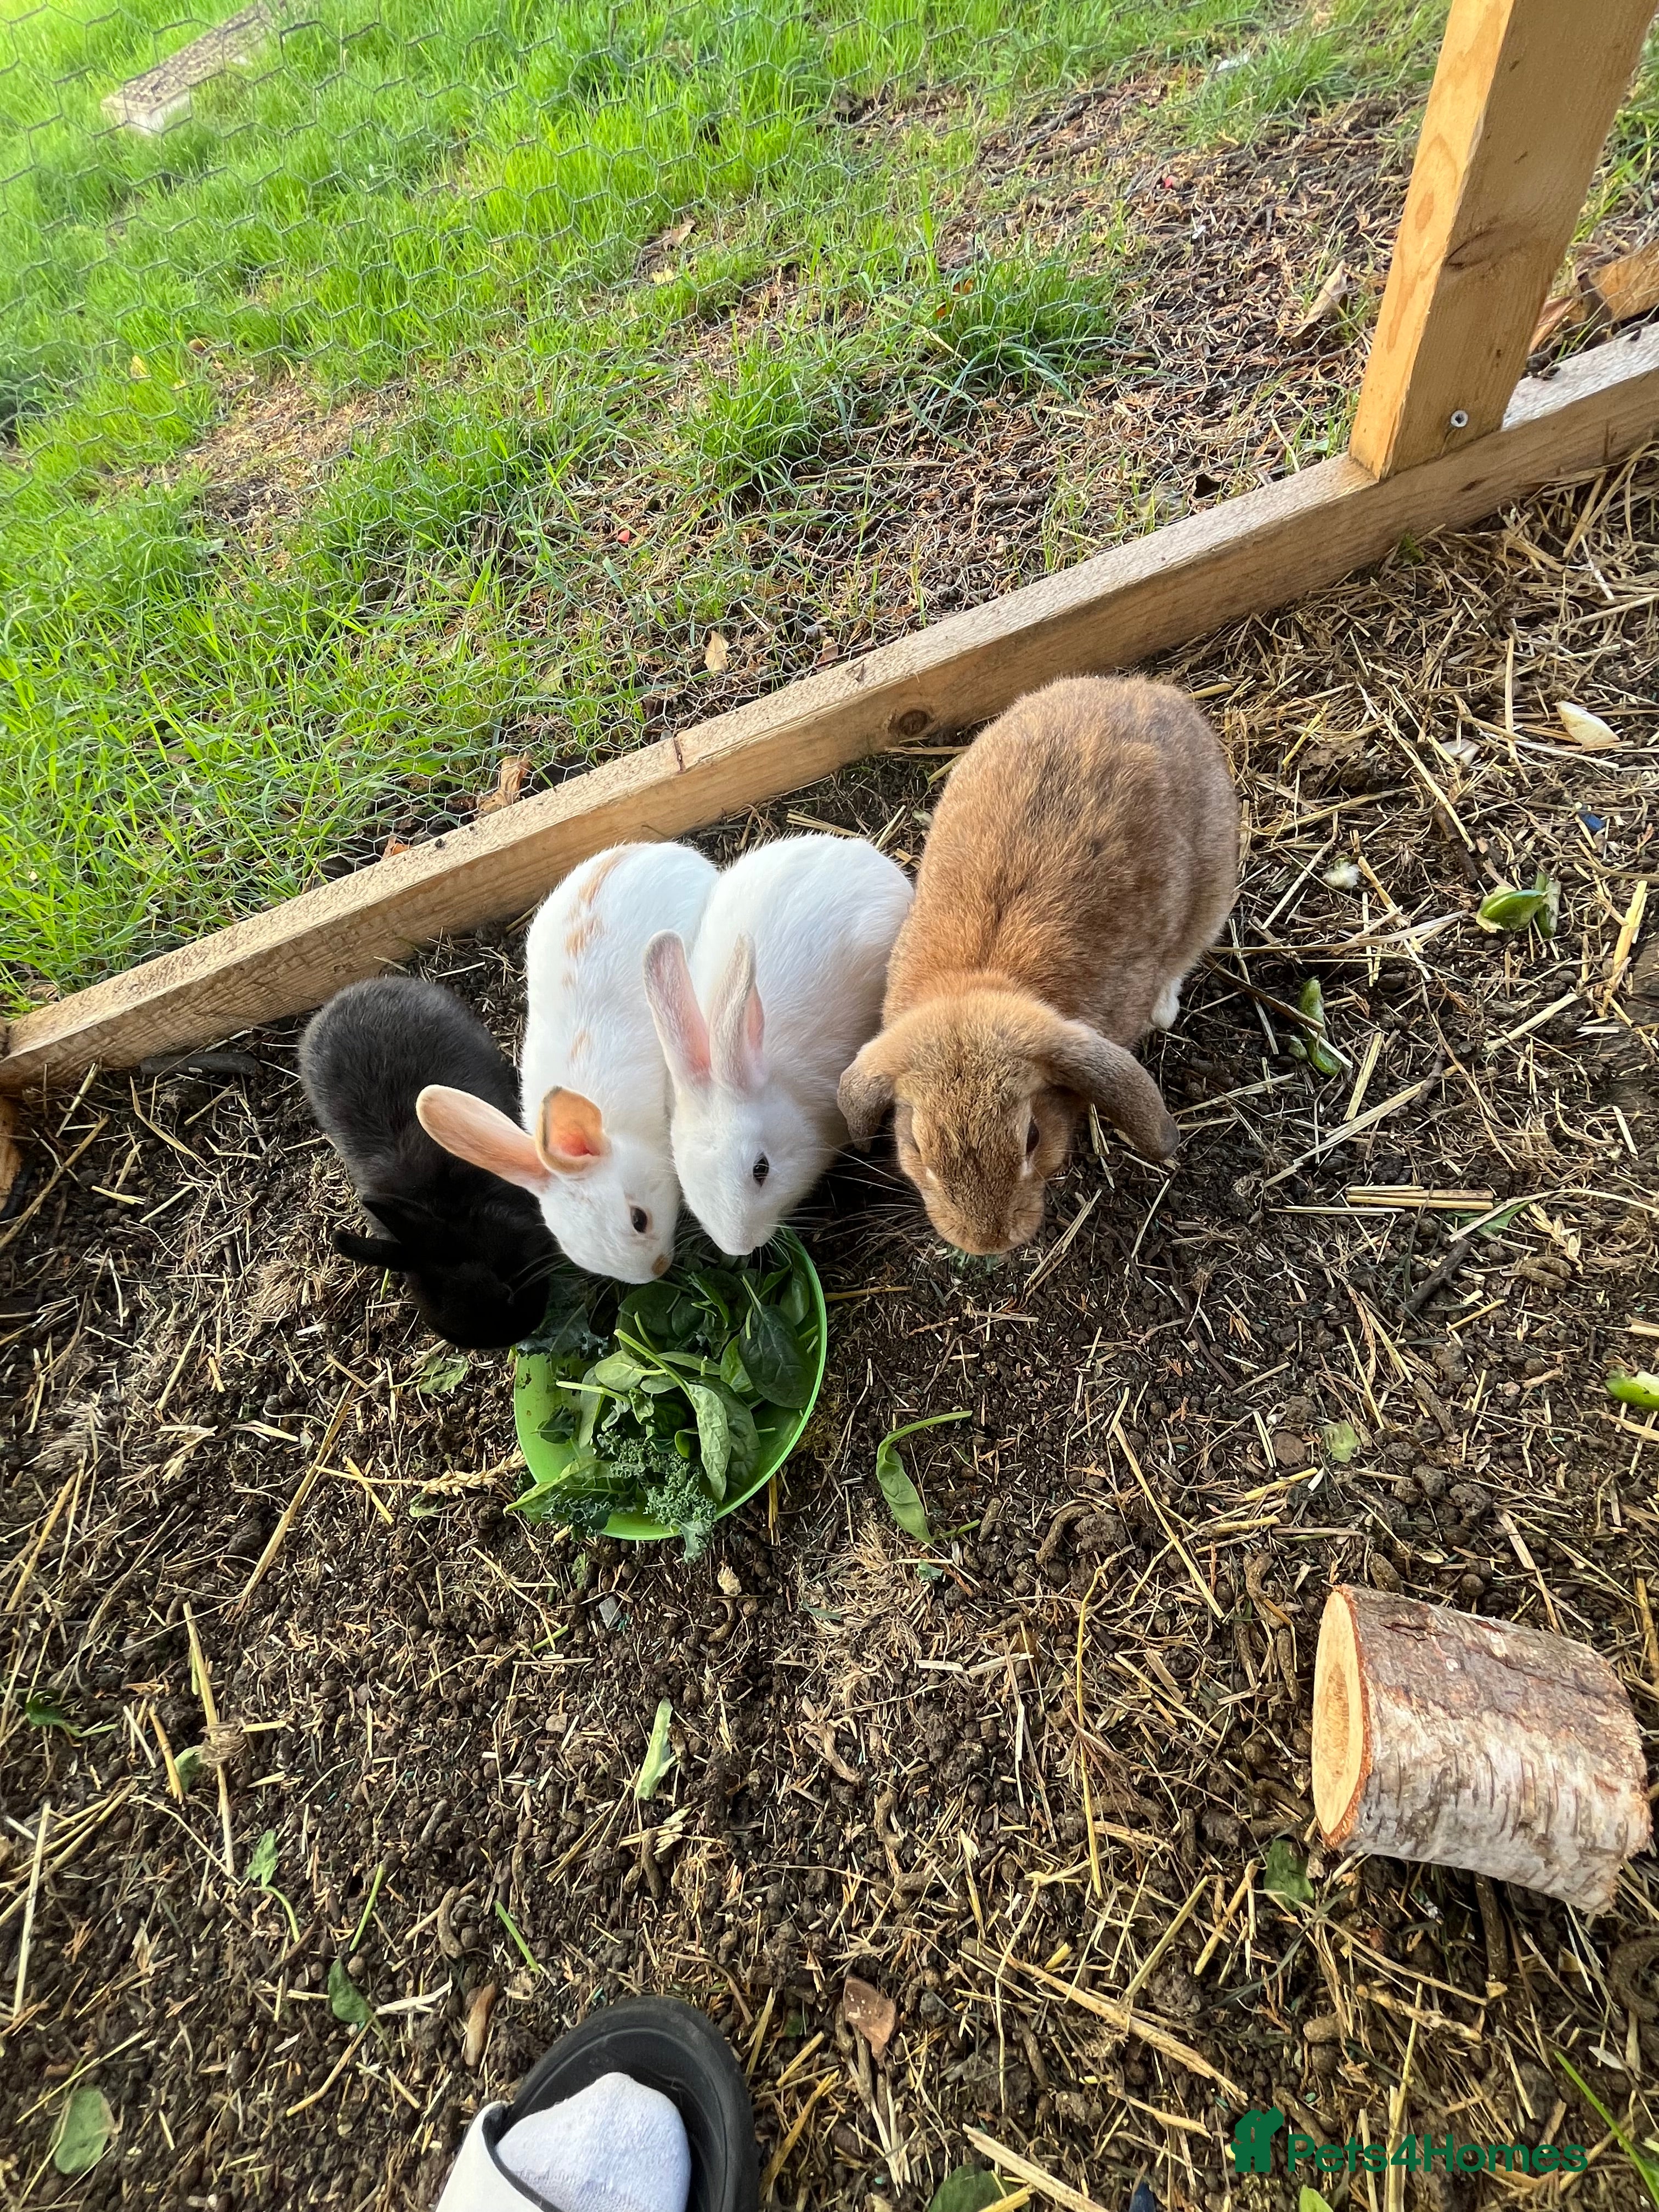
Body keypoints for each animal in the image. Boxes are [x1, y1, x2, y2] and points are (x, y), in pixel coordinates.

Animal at [837, 675, 1238, 1255]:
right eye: (915, 1143)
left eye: (1033, 1136)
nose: (987, 1243)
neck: (978, 983)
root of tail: (1146, 693)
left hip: (1215, 881)